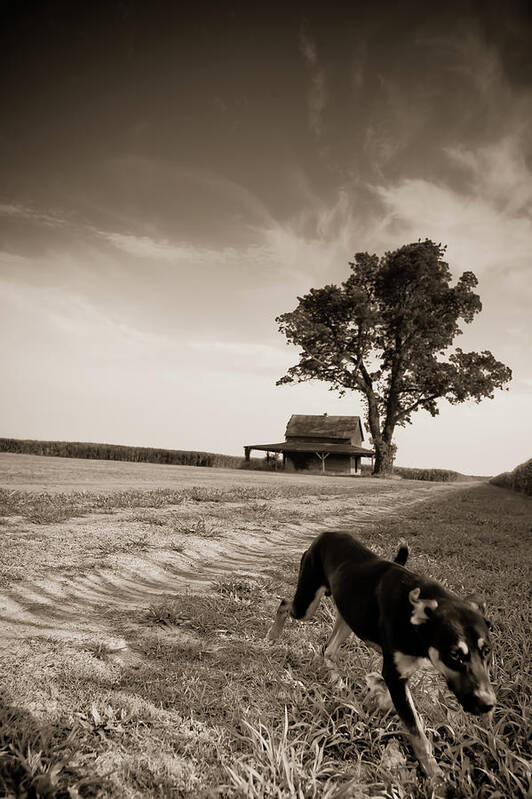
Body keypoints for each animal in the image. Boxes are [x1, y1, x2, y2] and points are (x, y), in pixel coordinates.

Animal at [266, 532, 494, 780]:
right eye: (455, 654)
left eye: (487, 651)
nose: (488, 704)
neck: (415, 620)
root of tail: (325, 535)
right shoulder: (395, 676)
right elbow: (417, 731)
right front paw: (434, 774)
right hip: (306, 604)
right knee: (285, 604)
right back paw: (273, 635)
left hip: (349, 614)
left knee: (329, 649)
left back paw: (337, 681)